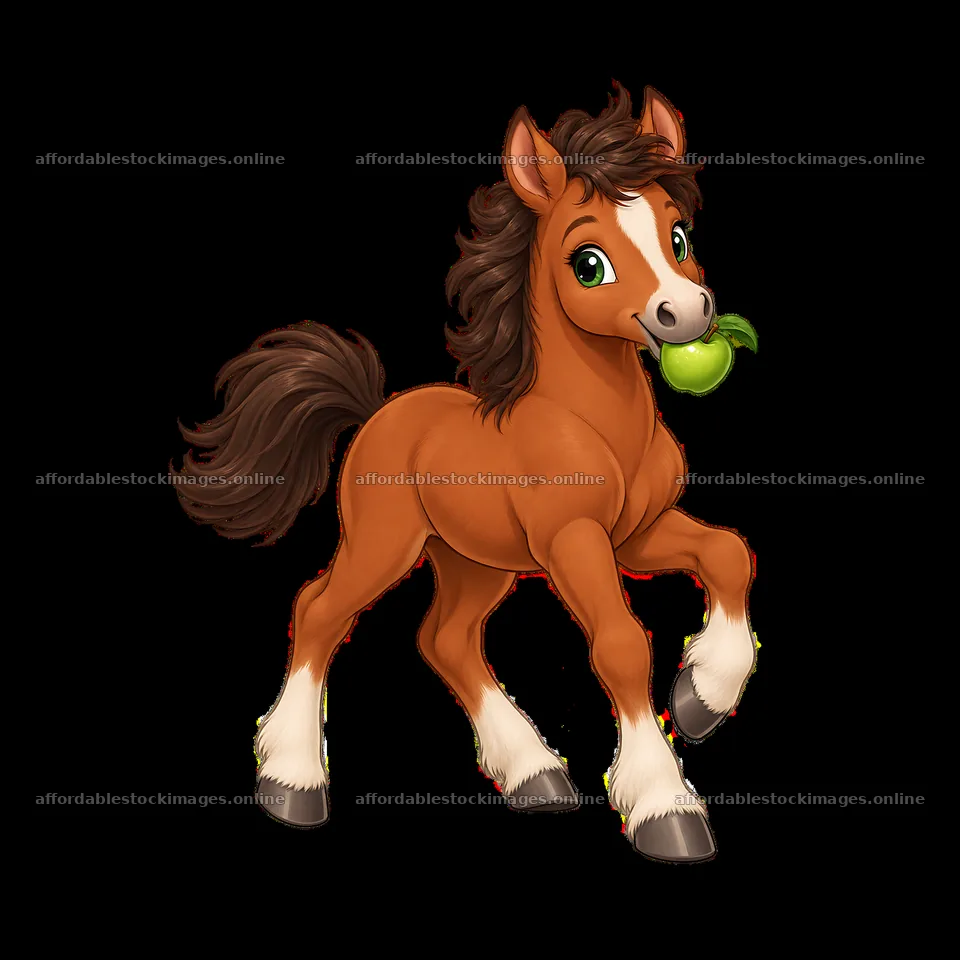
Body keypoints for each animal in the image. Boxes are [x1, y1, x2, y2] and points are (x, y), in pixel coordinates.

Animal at [175, 84, 757, 863]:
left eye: (680, 237)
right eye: (588, 263)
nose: (686, 313)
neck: (597, 426)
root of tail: (377, 412)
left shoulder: (636, 535)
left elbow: (727, 554)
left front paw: (701, 697)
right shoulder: (573, 539)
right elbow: (621, 645)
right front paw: (666, 808)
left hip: (473, 561)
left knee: (445, 640)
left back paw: (535, 775)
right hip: (385, 542)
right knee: (321, 609)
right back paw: (292, 782)